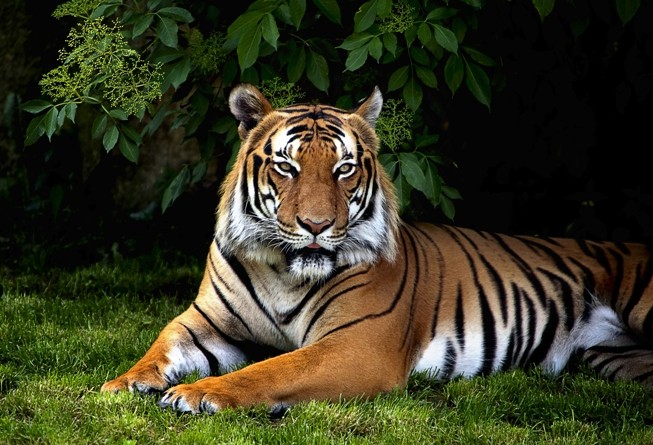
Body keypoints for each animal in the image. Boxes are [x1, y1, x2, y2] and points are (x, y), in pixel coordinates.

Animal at [99, 81, 652, 412]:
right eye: (287, 167)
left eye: (344, 168)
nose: (316, 225)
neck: (283, 270)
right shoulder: (206, 322)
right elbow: (161, 346)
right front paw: (124, 383)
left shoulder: (357, 345)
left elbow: (270, 369)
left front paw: (197, 394)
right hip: (617, 360)